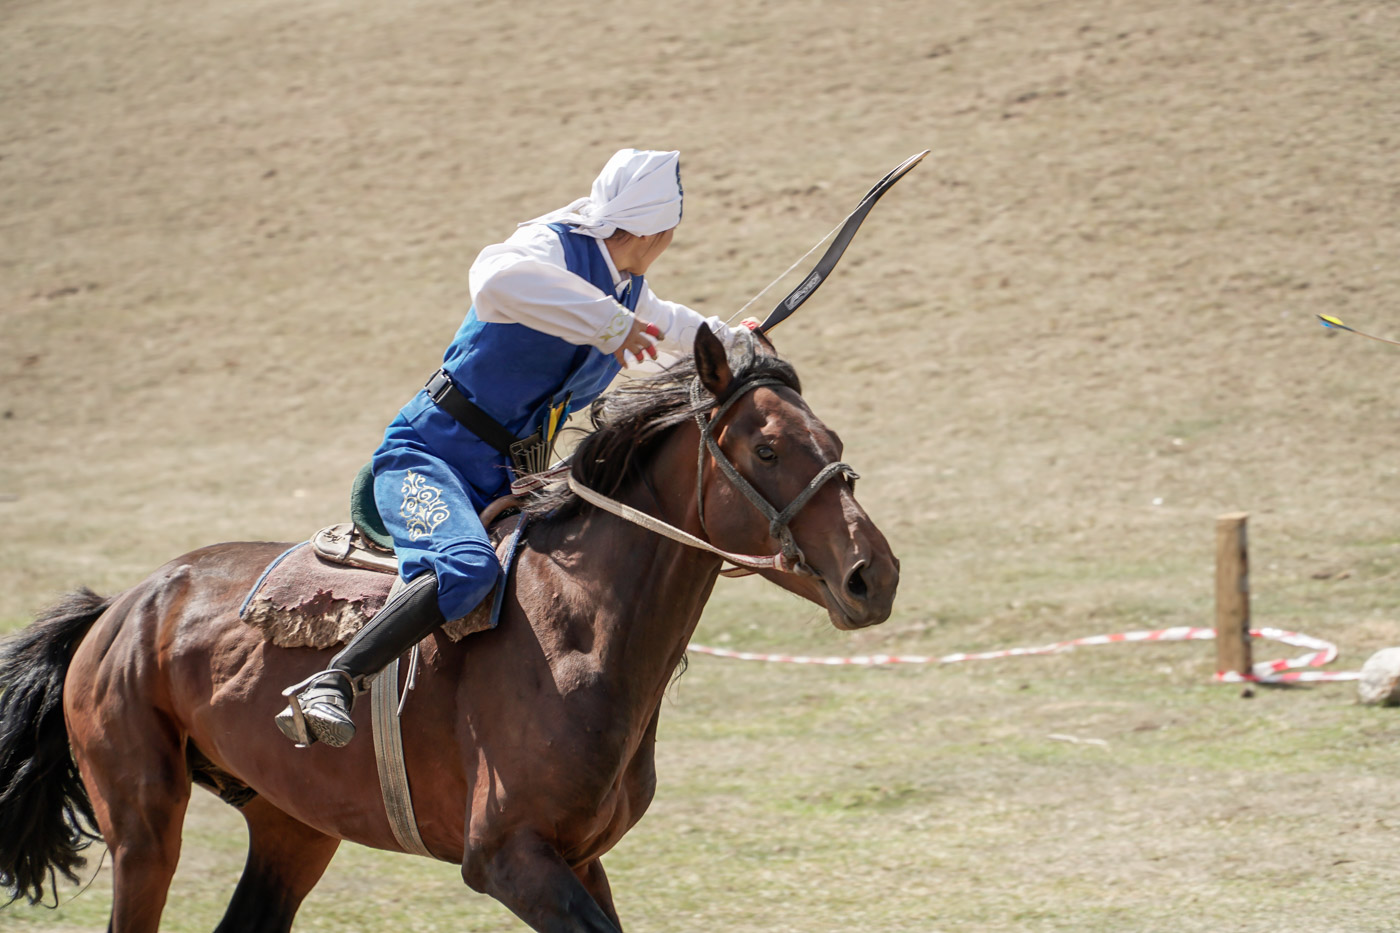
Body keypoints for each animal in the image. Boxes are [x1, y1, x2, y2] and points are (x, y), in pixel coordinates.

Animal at [0, 323, 896, 924]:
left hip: (293, 826)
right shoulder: (509, 857)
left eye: (832, 438)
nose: (873, 573)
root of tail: (121, 608)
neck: (578, 627)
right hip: (144, 828)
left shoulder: (578, 857)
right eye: (769, 448)